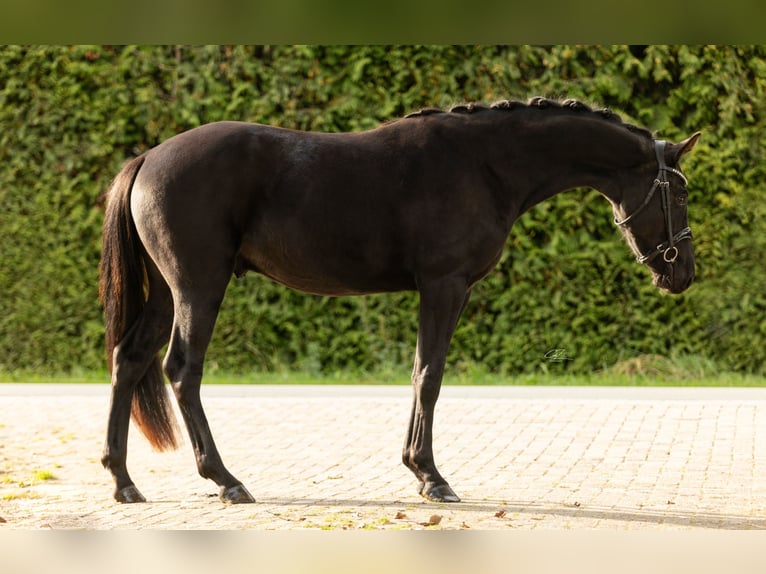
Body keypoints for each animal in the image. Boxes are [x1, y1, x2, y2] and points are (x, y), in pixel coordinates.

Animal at [99, 97, 700, 504]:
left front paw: (419, 469)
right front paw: (431, 477)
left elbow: (418, 371)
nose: (683, 273)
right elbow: (429, 375)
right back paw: (225, 480)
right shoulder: (445, 285)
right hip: (198, 288)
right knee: (183, 370)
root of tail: (149, 157)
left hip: (165, 294)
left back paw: (124, 481)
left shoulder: (440, 290)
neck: (485, 164)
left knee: (129, 359)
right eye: (681, 189)